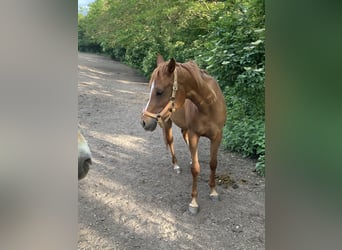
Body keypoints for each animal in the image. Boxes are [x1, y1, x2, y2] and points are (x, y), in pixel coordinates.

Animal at [140, 54, 226, 213]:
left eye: (159, 91)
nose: (144, 122)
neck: (209, 104)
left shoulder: (217, 136)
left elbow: (213, 164)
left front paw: (213, 191)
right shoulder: (194, 135)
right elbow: (195, 169)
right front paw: (194, 202)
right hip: (167, 122)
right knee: (170, 141)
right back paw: (176, 166)